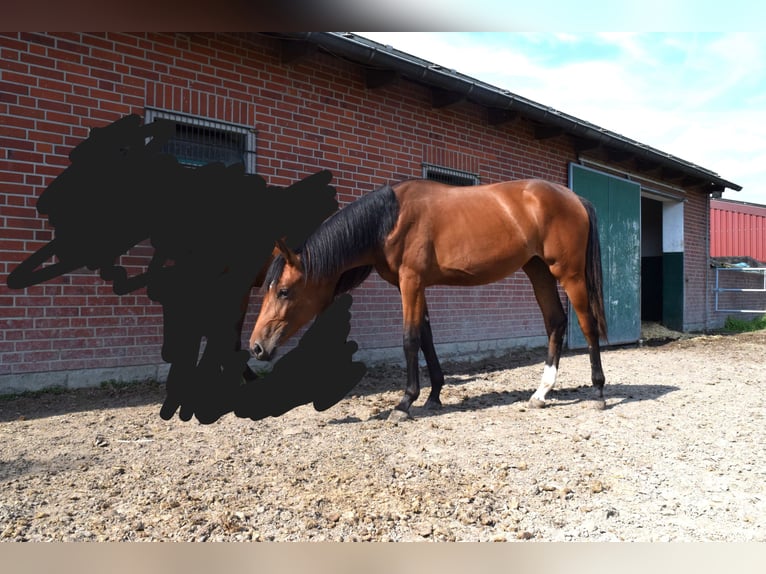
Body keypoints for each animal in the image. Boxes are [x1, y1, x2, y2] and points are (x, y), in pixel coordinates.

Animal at [249, 178, 608, 420]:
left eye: (283, 291)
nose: (256, 347)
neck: (389, 220)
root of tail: (575, 197)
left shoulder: (411, 282)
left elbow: (409, 339)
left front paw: (405, 402)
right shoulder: (413, 286)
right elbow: (426, 338)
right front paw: (433, 395)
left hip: (570, 274)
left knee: (587, 324)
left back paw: (598, 391)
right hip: (539, 270)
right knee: (555, 321)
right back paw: (541, 393)